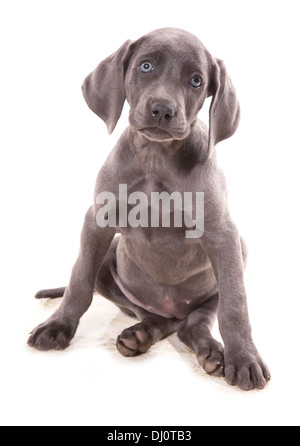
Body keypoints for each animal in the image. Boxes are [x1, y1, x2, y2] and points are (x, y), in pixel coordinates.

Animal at [28, 27, 272, 390]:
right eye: (145, 66)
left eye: (196, 81)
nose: (162, 109)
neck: (156, 159)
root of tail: (173, 311)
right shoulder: (96, 222)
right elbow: (79, 281)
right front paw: (57, 327)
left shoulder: (223, 235)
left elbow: (235, 304)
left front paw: (244, 358)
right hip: (112, 261)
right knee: (154, 316)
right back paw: (141, 334)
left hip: (237, 254)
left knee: (194, 322)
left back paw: (212, 352)